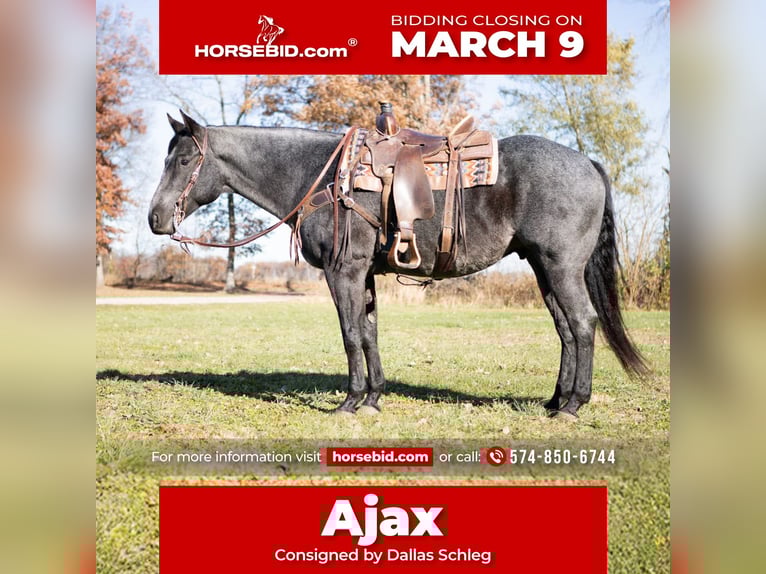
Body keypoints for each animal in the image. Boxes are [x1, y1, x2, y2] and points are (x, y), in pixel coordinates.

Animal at [148, 111, 648, 419]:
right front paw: (373, 398)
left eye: (185, 158)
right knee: (566, 329)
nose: (155, 218)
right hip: (544, 269)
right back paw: (554, 401)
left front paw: (350, 402)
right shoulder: (364, 275)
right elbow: (369, 332)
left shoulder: (344, 271)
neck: (323, 176)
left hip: (561, 267)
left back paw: (573, 404)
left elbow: (350, 333)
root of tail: (587, 162)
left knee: (582, 323)